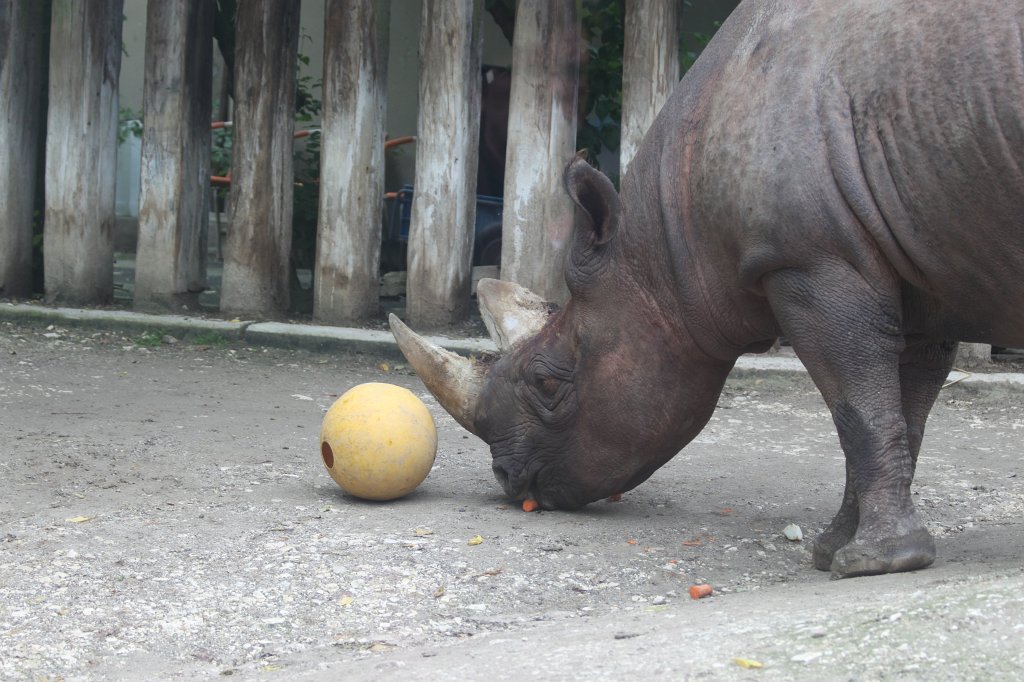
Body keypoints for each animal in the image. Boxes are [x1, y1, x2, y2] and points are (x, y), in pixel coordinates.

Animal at [389, 0, 1024, 578]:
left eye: (546, 382)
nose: (506, 479)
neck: (668, 251)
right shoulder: (917, 279)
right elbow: (896, 409)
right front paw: (835, 548)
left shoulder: (810, 260)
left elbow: (858, 407)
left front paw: (874, 563)